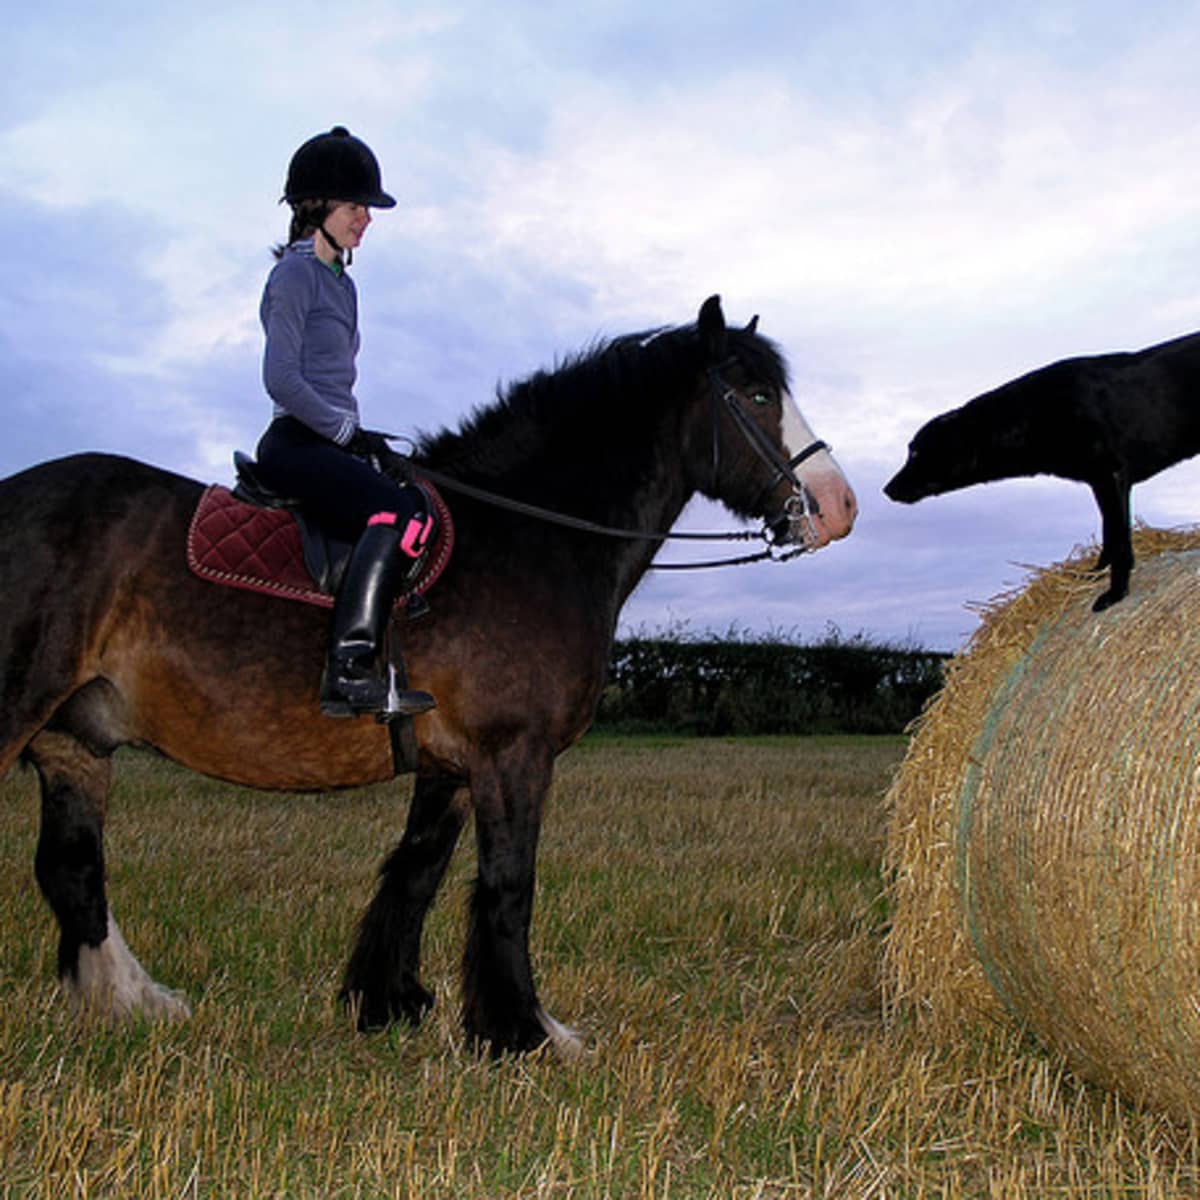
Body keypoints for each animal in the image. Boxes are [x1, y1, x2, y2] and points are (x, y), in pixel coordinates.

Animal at [4, 295, 859, 1056]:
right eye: (757, 395)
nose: (838, 506)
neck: (527, 534)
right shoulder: (512, 754)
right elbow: (508, 886)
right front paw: (526, 1033)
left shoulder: (450, 764)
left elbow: (416, 871)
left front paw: (389, 1002)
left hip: (75, 740)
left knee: (73, 869)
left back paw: (132, 1001)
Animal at [888, 328, 1200, 609]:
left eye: (915, 452)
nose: (887, 489)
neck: (1033, 413)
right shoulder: (1100, 483)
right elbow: (1109, 535)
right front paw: (1094, 574)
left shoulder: (1111, 476)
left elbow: (1120, 539)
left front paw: (1115, 593)